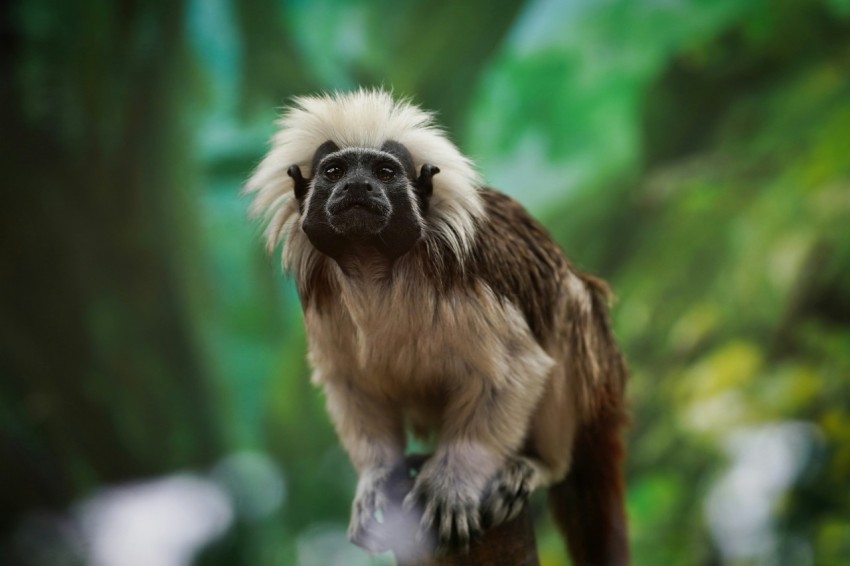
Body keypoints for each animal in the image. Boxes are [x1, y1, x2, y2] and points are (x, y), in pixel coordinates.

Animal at [244, 89, 629, 564]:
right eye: (334, 172)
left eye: (384, 172)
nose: (357, 187)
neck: (373, 266)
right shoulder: (325, 309)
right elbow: (351, 384)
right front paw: (377, 478)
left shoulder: (470, 290)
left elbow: (514, 372)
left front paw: (450, 486)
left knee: (571, 301)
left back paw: (536, 466)